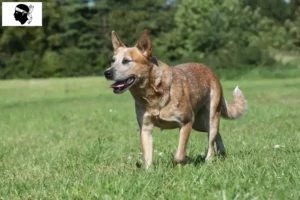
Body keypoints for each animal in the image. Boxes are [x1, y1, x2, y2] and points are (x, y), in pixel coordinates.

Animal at [104, 29, 247, 167]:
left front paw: (186, 159)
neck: (153, 94)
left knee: (211, 141)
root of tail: (211, 71)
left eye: (127, 61)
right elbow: (147, 157)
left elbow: (179, 155)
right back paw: (222, 152)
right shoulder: (145, 128)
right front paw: (148, 171)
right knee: (217, 134)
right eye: (112, 60)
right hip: (199, 123)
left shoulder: (186, 122)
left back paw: (209, 160)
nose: (107, 72)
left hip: (209, 117)